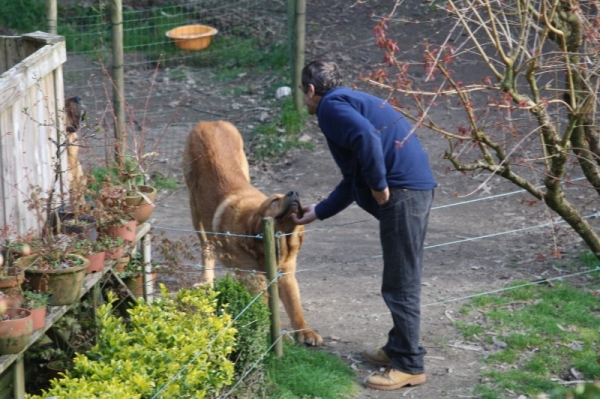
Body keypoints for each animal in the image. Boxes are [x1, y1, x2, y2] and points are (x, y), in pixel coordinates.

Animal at [184, 120, 324, 346]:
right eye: (274, 200)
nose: (294, 192)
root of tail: (210, 122)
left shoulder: (286, 274)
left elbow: (295, 307)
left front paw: (305, 331)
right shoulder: (253, 278)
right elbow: (267, 306)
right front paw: (281, 333)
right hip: (195, 208)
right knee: (207, 248)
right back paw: (206, 280)